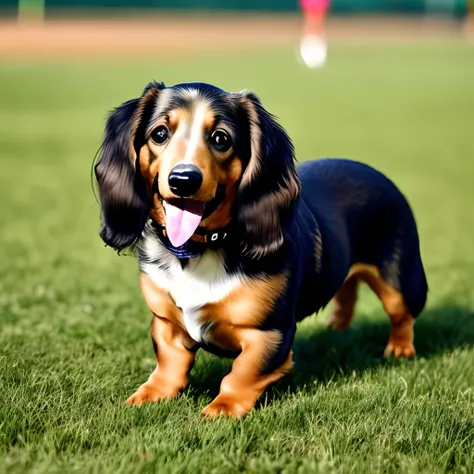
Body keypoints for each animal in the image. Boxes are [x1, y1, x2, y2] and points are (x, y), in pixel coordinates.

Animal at [94, 81, 428, 418]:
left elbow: (242, 373)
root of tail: (375, 173)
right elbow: (169, 363)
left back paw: (399, 349)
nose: (183, 180)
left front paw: (223, 408)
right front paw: (151, 394)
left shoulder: (268, 334)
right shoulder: (165, 323)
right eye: (160, 134)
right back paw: (336, 328)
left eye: (221, 138)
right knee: (347, 292)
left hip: (399, 280)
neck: (197, 251)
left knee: (402, 315)